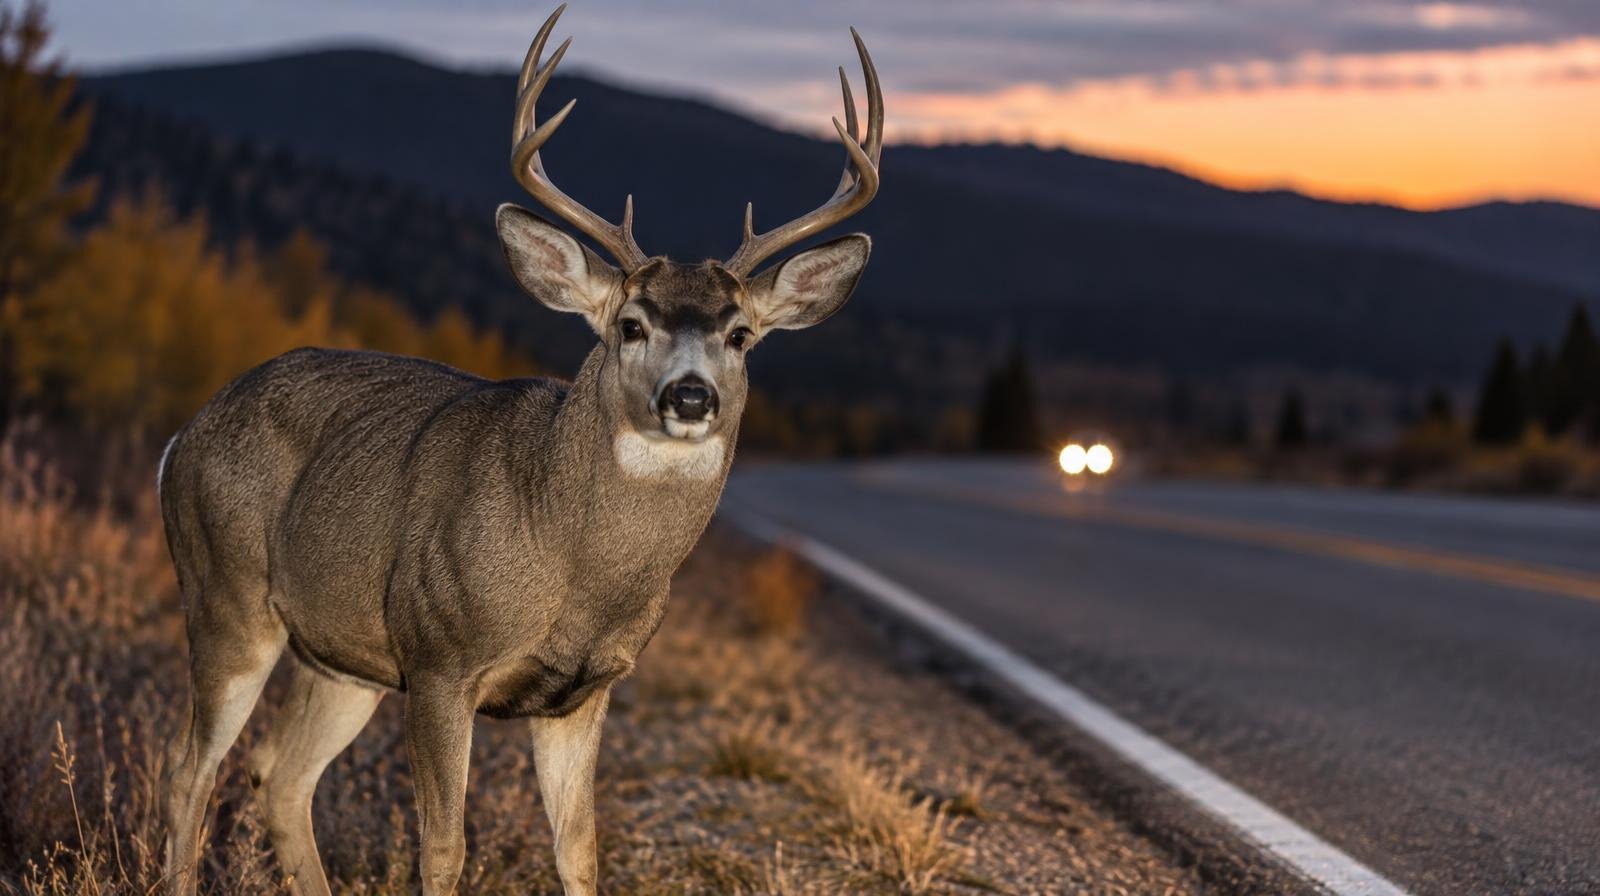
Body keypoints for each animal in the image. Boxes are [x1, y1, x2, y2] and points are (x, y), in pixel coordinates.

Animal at [155, 5, 881, 895]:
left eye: (741, 335)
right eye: (629, 324)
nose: (689, 396)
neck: (574, 572)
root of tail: (183, 436)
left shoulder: (584, 690)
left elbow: (579, 849)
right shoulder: (439, 655)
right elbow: (444, 847)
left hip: (342, 657)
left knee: (281, 777)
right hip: (225, 595)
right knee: (190, 768)